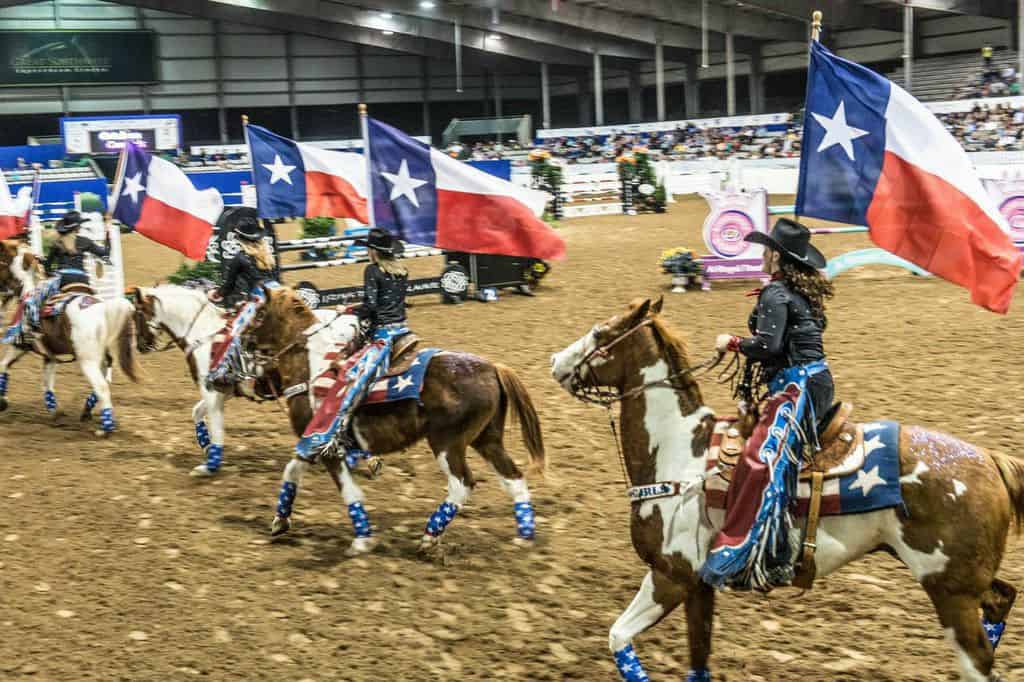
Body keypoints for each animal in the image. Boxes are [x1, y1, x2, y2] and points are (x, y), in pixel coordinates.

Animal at [0, 238, 140, 432]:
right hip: (101, 357)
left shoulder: (19, 344)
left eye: (1, 262)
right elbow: (47, 384)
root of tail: (101, 308)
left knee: (102, 386)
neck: (29, 290)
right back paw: (87, 412)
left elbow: (3, 365)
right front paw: (55, 412)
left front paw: (2, 402)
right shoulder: (49, 355)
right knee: (104, 382)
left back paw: (105, 429)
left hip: (88, 360)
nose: (3, 293)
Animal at [128, 280, 362, 473]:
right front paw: (206, 448)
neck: (204, 334)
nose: (141, 345)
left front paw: (210, 465)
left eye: (137, 314)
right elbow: (197, 413)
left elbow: (216, 426)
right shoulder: (224, 391)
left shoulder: (210, 391)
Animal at [244, 284, 548, 557]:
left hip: (447, 443)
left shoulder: (327, 446)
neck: (313, 366)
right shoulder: (312, 443)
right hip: (487, 439)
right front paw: (280, 522)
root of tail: (493, 368)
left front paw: (361, 542)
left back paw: (429, 538)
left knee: (462, 484)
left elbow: (349, 492)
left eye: (259, 314)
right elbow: (291, 472)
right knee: (513, 477)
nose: (246, 342)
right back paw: (524, 537)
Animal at [557, 296, 1019, 679]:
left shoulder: (671, 576)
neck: (680, 450)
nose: (556, 361)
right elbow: (698, 658)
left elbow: (617, 636)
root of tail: (989, 460)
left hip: (951, 592)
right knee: (1003, 599)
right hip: (963, 582)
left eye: (601, 333)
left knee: (978, 661)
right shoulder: (699, 587)